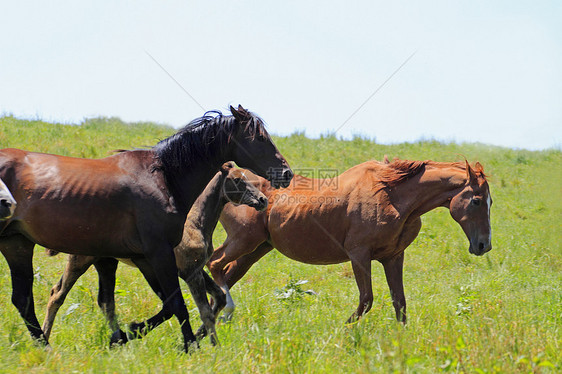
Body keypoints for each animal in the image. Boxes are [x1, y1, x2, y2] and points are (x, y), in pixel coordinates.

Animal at [41, 164, 266, 344]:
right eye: (237, 179)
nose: (262, 200)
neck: (196, 222)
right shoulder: (188, 272)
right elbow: (203, 311)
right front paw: (213, 347)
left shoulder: (193, 269)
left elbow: (218, 297)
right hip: (80, 260)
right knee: (57, 295)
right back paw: (45, 339)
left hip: (106, 263)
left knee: (105, 302)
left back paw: (118, 339)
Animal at [209, 158, 490, 322]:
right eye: (476, 200)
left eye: (490, 201)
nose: (483, 245)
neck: (391, 194)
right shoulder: (359, 256)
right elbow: (366, 300)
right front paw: (343, 333)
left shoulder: (393, 257)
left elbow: (399, 303)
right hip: (243, 240)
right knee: (214, 264)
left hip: (255, 249)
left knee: (226, 274)